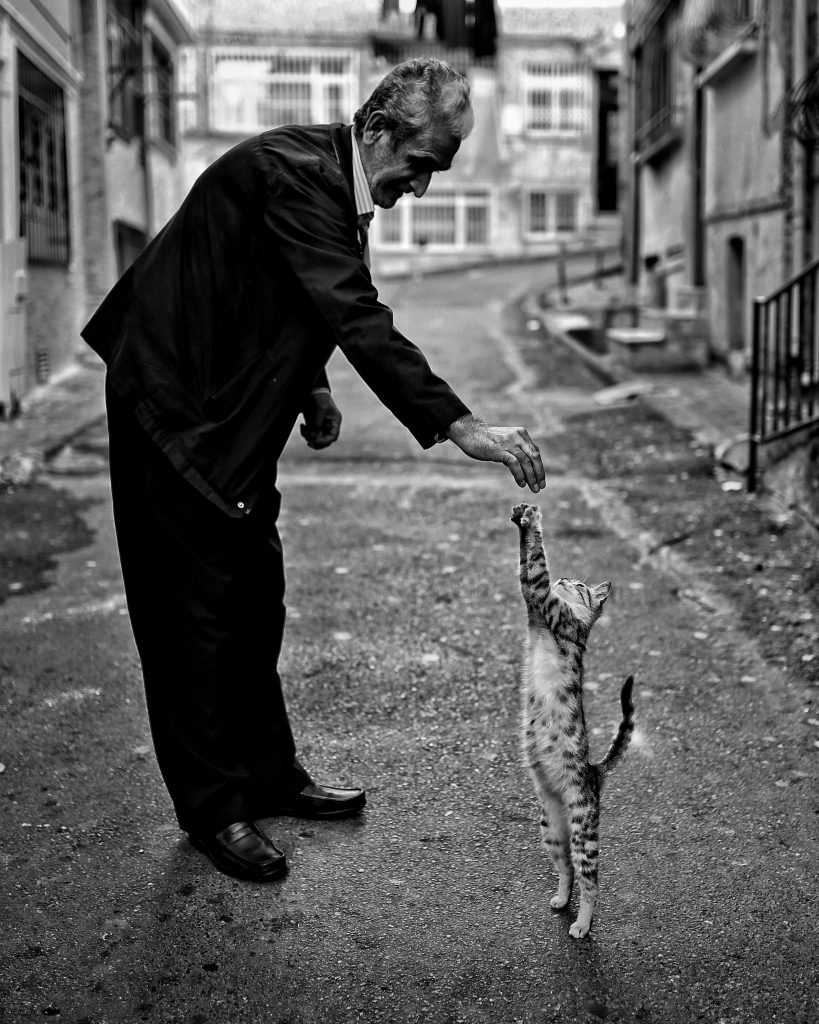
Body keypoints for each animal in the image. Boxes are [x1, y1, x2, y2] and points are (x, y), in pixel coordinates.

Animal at [507, 499, 634, 937]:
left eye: (578, 586)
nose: (566, 578)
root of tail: (595, 772)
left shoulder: (542, 599)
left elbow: (534, 563)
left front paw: (533, 518)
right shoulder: (534, 608)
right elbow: (526, 564)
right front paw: (522, 517)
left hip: (582, 830)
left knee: (591, 881)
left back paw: (582, 924)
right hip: (550, 829)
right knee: (566, 872)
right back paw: (562, 901)